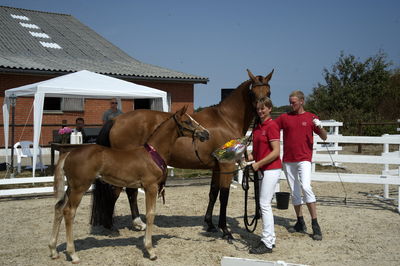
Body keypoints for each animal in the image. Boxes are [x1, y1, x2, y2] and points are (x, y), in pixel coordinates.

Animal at [48, 105, 209, 262]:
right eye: (187, 121)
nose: (205, 134)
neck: (152, 154)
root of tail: (69, 153)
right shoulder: (151, 187)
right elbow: (151, 214)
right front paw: (150, 250)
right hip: (79, 188)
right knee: (69, 212)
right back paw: (73, 254)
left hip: (71, 188)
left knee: (58, 207)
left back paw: (53, 250)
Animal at [92, 68, 274, 241]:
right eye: (252, 93)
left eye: (269, 92)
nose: (261, 109)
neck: (226, 120)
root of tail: (116, 120)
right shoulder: (226, 165)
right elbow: (224, 195)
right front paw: (226, 231)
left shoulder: (216, 166)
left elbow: (213, 192)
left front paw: (210, 224)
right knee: (118, 192)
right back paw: (112, 227)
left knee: (130, 192)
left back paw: (137, 223)